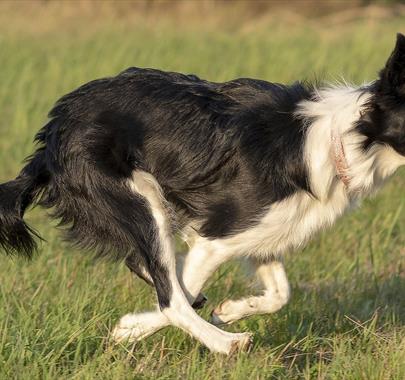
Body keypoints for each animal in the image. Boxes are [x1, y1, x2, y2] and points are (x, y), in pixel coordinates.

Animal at [0, 33, 404, 356]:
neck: (346, 141)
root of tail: (53, 133)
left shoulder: (262, 232)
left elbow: (280, 293)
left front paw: (229, 310)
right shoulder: (217, 236)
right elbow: (176, 295)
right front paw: (131, 328)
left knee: (146, 267)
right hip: (141, 201)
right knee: (171, 296)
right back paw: (227, 343)